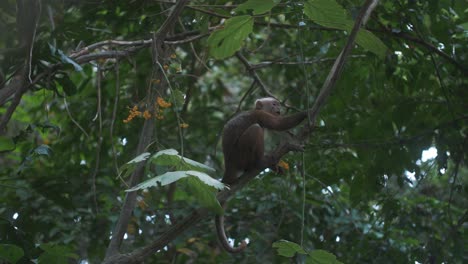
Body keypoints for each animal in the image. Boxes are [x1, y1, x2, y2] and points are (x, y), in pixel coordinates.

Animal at [216, 97, 308, 254]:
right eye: (274, 104)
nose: (279, 108)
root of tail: (228, 165)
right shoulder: (260, 115)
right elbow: (279, 124)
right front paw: (307, 112)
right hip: (239, 156)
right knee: (256, 129)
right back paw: (260, 162)